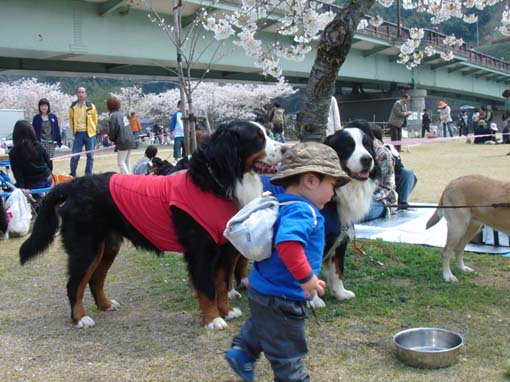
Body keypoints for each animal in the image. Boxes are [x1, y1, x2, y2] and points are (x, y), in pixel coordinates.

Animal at [18, 121, 286, 330]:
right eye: (257, 138)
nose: (286, 148)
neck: (216, 183)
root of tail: (74, 184)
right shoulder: (201, 252)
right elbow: (207, 288)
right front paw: (212, 319)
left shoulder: (224, 250)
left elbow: (222, 284)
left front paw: (227, 311)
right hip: (85, 248)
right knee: (75, 285)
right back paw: (80, 318)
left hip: (108, 247)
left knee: (95, 280)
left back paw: (105, 305)